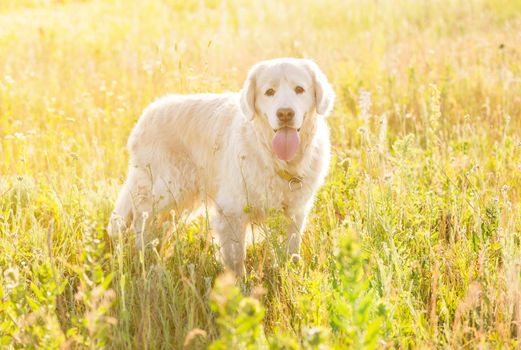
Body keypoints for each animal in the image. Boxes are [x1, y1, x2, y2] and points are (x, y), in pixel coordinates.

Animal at [106, 56, 334, 276]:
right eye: (269, 92)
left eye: (299, 89)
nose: (285, 113)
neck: (273, 156)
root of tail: (145, 116)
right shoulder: (231, 211)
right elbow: (236, 258)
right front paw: (240, 285)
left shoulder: (295, 212)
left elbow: (291, 252)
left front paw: (291, 275)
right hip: (165, 191)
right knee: (142, 222)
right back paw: (146, 259)